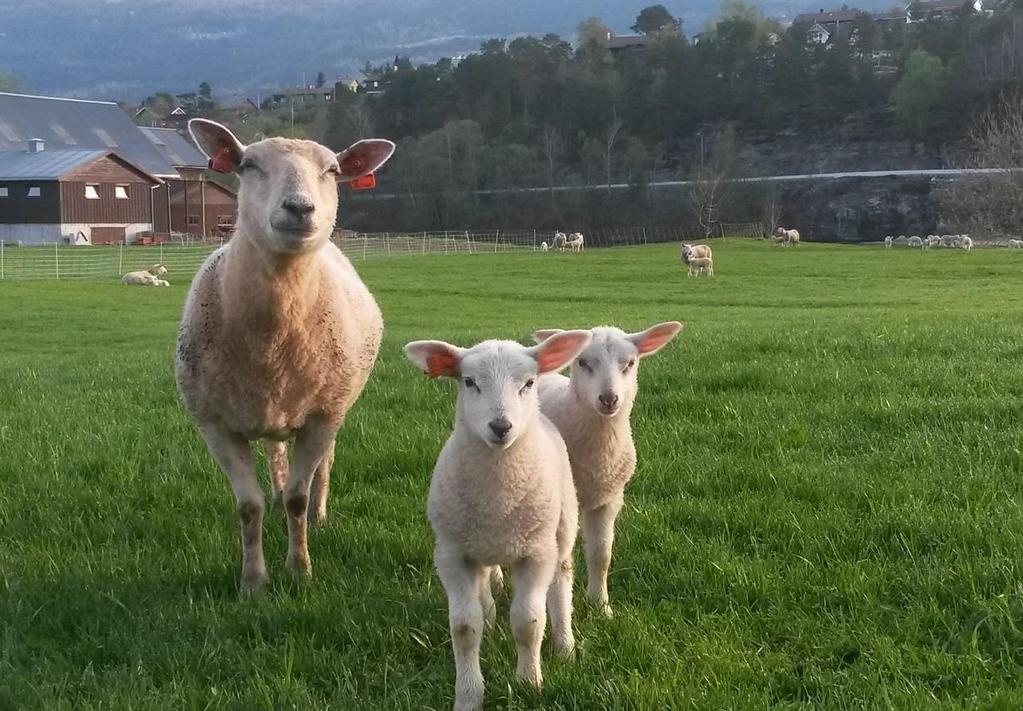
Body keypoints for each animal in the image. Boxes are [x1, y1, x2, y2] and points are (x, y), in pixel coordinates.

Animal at [175, 119, 394, 597]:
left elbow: (298, 495)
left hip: (332, 403)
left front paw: (299, 569)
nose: (299, 208)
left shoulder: (322, 417)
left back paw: (319, 512)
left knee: (321, 466)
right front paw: (254, 582)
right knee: (274, 451)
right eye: (248, 165)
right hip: (269, 406)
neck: (272, 337)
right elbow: (248, 506)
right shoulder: (213, 423)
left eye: (333, 170)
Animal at [401, 331, 589, 711]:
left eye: (528, 383)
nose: (501, 427)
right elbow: (463, 627)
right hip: (479, 542)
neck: (498, 498)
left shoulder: (536, 553)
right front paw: (468, 695)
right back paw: (490, 616)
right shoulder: (452, 553)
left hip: (562, 526)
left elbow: (528, 621)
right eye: (469, 382)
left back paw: (564, 645)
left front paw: (529, 682)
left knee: (562, 580)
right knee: (486, 584)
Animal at [531, 323, 683, 617]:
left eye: (630, 363)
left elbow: (601, 554)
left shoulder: (609, 500)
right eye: (582, 362)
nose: (609, 399)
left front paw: (601, 606)